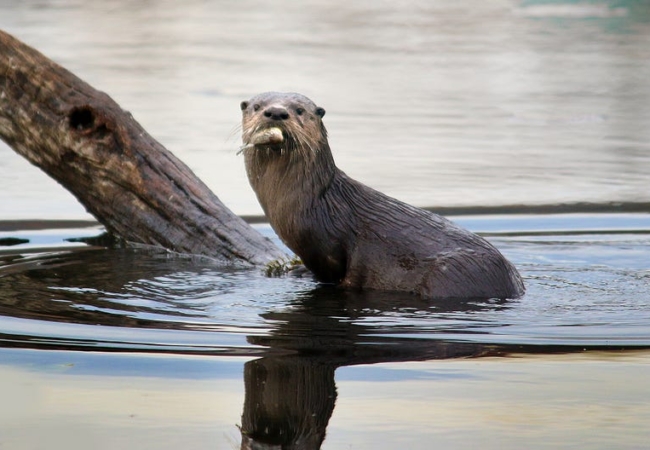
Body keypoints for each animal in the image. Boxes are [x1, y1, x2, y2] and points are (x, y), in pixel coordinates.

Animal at [238, 91, 520, 298]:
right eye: (257, 106)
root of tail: (514, 284)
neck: (317, 203)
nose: (276, 112)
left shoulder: (330, 247)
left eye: (300, 110)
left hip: (452, 274)